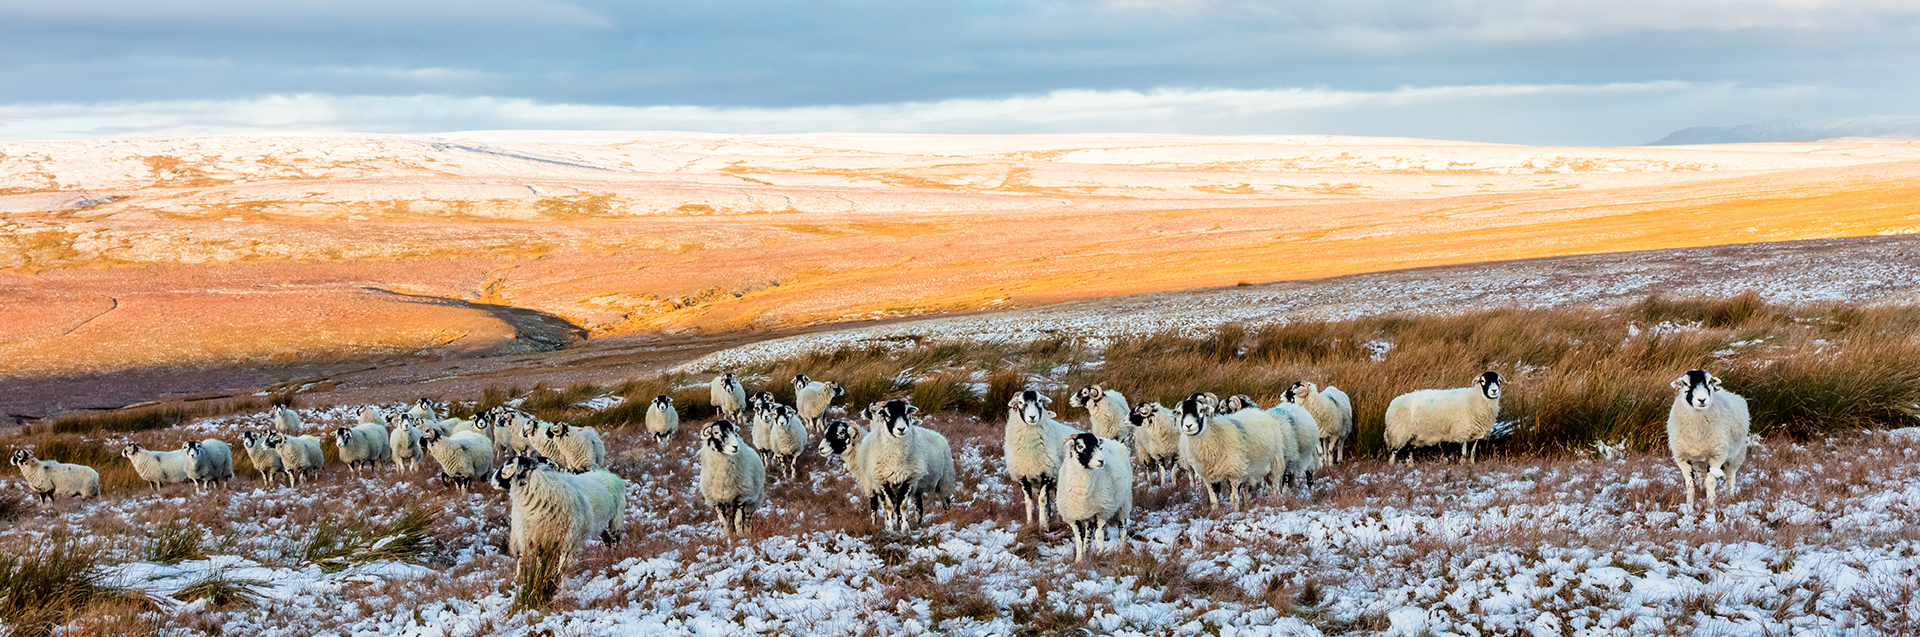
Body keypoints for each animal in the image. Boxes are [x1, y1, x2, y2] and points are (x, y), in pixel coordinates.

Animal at [491, 452, 625, 567]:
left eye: (505, 465)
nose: (492, 480)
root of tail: (609, 474)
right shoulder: (539, 540)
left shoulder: (567, 540)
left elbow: (561, 566)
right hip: (599, 524)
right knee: (606, 539)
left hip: (616, 519)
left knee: (615, 541)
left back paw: (614, 559)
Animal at [864, 401, 960, 529]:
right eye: (886, 414)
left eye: (907, 412)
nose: (901, 429)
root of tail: (939, 435)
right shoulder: (882, 482)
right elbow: (889, 507)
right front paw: (890, 528)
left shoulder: (908, 479)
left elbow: (902, 506)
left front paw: (904, 528)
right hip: (917, 487)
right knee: (919, 506)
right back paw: (918, 523)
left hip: (945, 478)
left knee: (946, 501)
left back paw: (947, 517)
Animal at [998, 391, 1090, 529]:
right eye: (1020, 402)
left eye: (1039, 401)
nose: (1032, 417)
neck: (1030, 450)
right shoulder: (1022, 476)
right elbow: (1028, 501)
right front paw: (1030, 523)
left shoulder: (1048, 473)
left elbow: (1042, 500)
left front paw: (1042, 525)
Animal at [1059, 433, 1128, 564]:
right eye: (1080, 446)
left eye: (1099, 446)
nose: (1101, 461)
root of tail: (1114, 441)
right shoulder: (1073, 517)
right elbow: (1079, 541)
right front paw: (1079, 560)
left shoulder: (1102, 512)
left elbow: (1099, 536)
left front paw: (1101, 555)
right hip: (1089, 515)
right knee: (1088, 536)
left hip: (1124, 503)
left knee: (1122, 528)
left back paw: (1122, 550)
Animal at [1666, 368, 1758, 506]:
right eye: (1685, 384)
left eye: (1710, 382)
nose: (1702, 399)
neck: (1696, 431)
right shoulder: (1682, 458)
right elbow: (1690, 484)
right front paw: (1689, 505)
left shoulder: (1717, 455)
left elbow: (1710, 481)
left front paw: (1710, 504)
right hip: (1701, 462)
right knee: (1703, 476)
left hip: (1736, 455)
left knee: (1730, 476)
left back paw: (1730, 497)